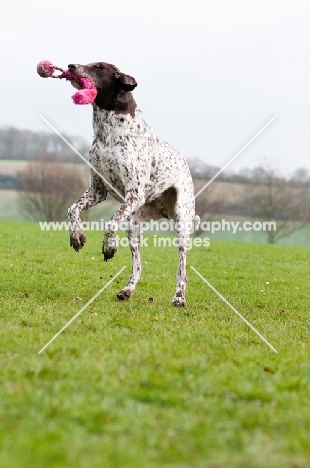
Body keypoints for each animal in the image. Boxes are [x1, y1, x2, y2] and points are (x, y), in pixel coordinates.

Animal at [67, 60, 199, 306]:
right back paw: (127, 290)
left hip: (181, 224)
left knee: (182, 267)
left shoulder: (134, 194)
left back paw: (179, 297)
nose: (70, 65)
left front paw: (109, 247)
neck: (108, 132)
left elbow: (109, 223)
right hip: (133, 225)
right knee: (137, 265)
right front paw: (77, 236)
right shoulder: (97, 191)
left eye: (99, 67)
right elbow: (73, 209)